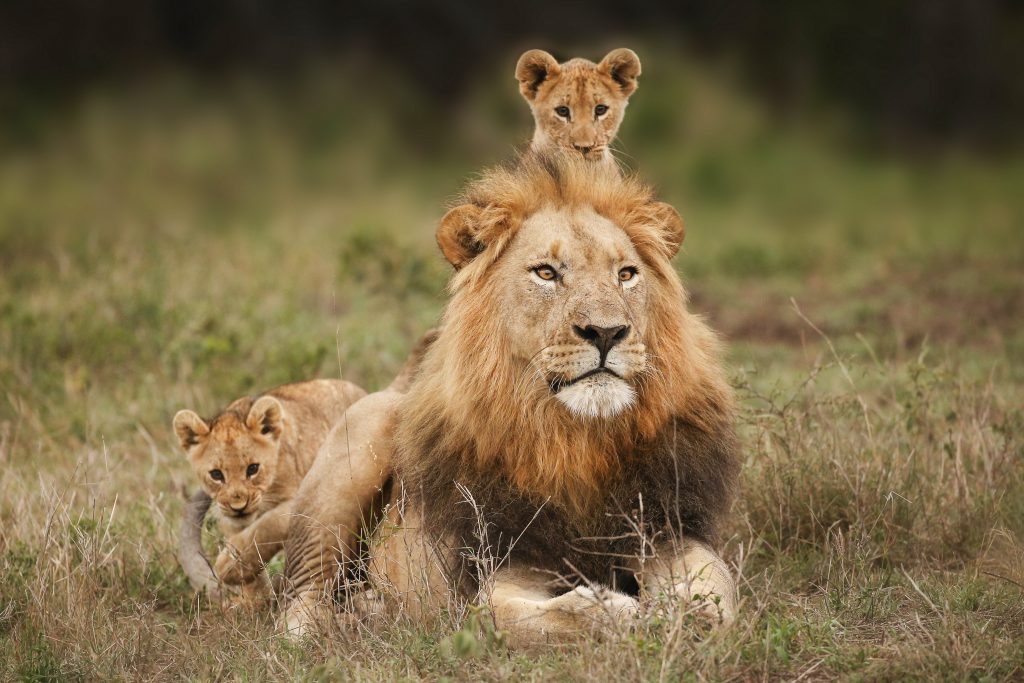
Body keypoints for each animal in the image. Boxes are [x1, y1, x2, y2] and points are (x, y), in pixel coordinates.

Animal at [282, 150, 737, 647]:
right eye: (546, 273)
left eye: (626, 274)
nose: (607, 332)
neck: (578, 440)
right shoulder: (500, 570)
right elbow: (533, 616)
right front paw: (627, 612)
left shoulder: (669, 531)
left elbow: (716, 599)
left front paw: (681, 616)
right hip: (357, 449)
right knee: (299, 599)